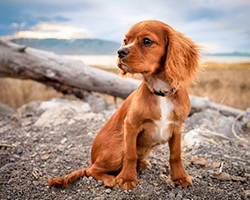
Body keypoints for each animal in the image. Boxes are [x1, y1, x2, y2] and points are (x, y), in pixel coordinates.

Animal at [47, 19, 200, 190]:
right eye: (126, 41)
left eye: (147, 41)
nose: (120, 52)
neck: (161, 92)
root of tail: (92, 160)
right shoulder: (131, 124)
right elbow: (130, 154)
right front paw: (127, 178)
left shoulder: (177, 127)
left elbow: (176, 154)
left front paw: (180, 177)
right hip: (116, 148)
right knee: (91, 171)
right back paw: (110, 179)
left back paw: (141, 164)